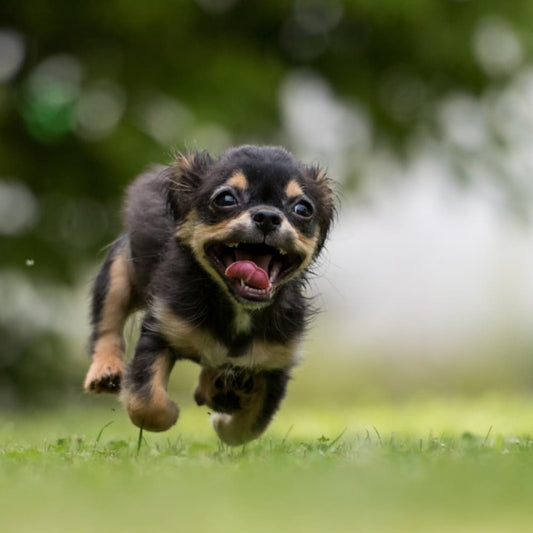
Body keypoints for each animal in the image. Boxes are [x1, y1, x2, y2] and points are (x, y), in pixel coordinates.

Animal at [84, 145, 332, 444]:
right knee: (107, 325)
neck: (237, 308)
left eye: (302, 209)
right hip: (118, 273)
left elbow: (248, 428)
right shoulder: (160, 332)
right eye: (225, 198)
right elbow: (146, 404)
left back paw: (216, 387)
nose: (268, 216)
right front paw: (171, 412)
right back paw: (105, 370)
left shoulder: (275, 364)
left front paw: (222, 422)